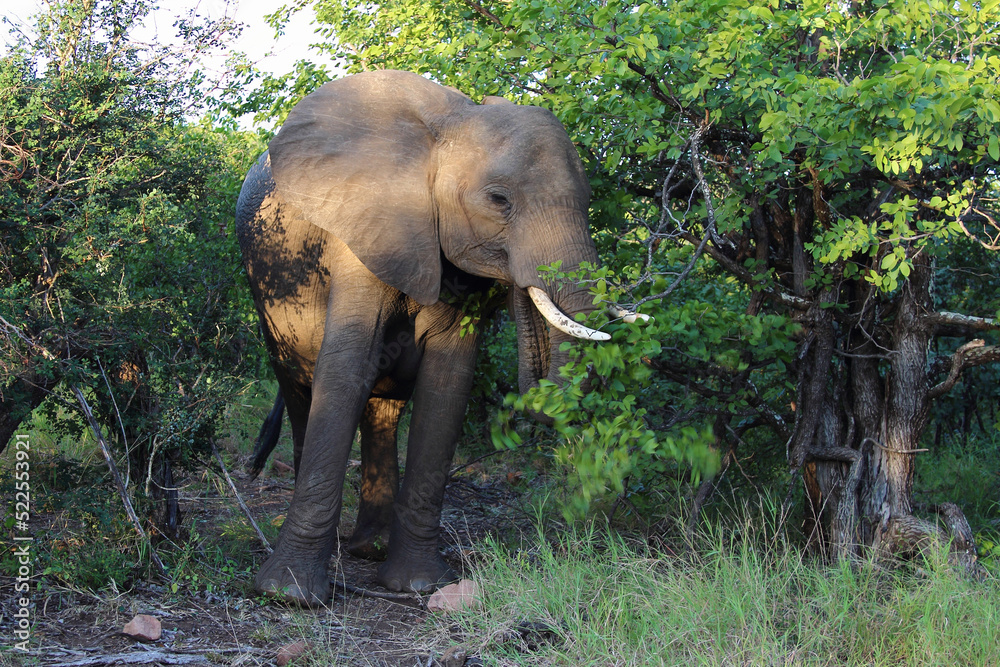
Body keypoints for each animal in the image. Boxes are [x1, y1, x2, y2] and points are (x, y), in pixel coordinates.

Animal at [235, 70, 639, 608]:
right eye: (499, 200)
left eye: (589, 200)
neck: (450, 124)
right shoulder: (361, 234)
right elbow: (346, 368)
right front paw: (290, 595)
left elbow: (446, 384)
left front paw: (419, 584)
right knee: (300, 391)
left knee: (383, 410)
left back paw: (371, 548)